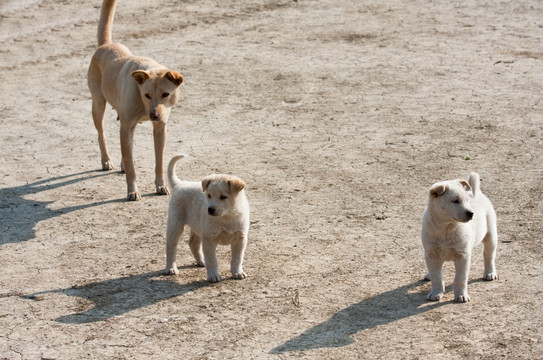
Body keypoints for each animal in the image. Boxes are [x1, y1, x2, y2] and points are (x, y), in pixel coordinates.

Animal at [88, 0, 184, 201]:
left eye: (165, 94)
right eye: (147, 95)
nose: (153, 115)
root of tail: (105, 45)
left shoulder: (160, 129)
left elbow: (159, 162)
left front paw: (161, 186)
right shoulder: (126, 127)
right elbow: (132, 167)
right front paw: (132, 191)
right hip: (98, 105)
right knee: (102, 134)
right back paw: (106, 160)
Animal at [166, 154, 251, 282]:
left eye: (223, 197)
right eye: (209, 195)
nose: (210, 209)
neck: (226, 217)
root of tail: (180, 184)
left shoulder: (240, 238)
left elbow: (237, 258)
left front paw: (237, 272)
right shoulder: (209, 239)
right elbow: (212, 260)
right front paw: (214, 275)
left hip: (197, 226)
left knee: (193, 243)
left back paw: (201, 261)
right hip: (175, 224)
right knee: (171, 246)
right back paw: (171, 268)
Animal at [422, 173, 500, 302]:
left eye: (467, 201)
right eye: (455, 201)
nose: (471, 213)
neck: (446, 227)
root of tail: (475, 192)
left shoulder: (462, 256)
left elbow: (460, 279)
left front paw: (461, 295)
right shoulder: (431, 253)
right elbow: (436, 277)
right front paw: (435, 292)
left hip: (491, 235)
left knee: (489, 255)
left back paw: (490, 273)